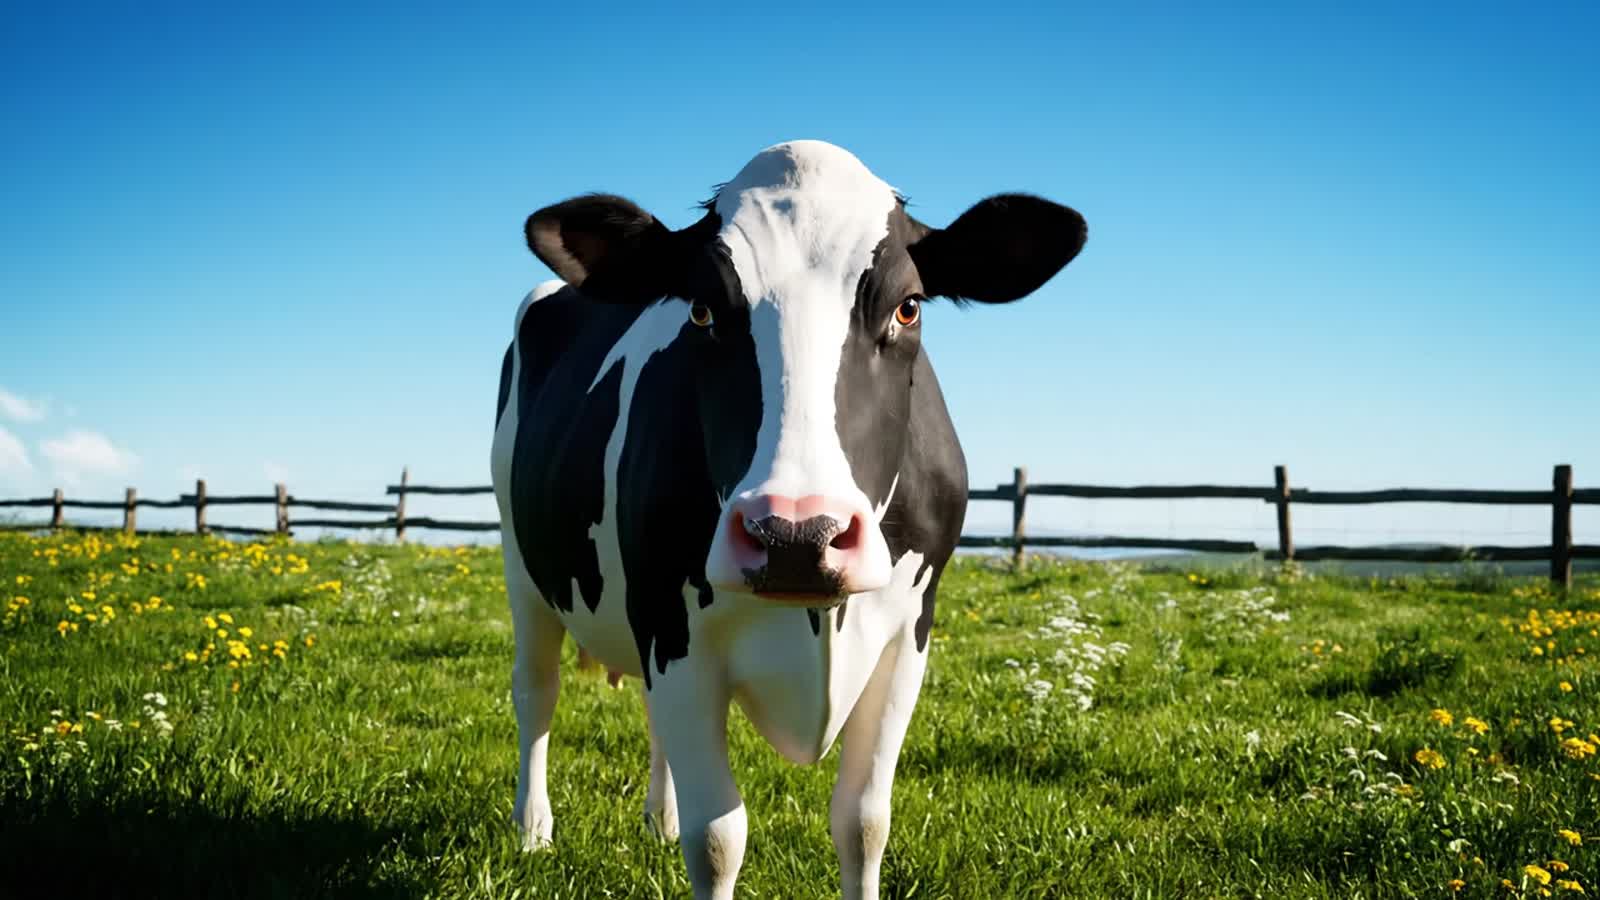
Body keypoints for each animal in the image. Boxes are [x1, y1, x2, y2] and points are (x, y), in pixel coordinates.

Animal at [491, 140, 1085, 900]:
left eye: (908, 307)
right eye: (702, 311)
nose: (797, 535)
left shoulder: (907, 634)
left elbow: (863, 824)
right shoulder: (672, 628)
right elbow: (718, 839)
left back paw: (658, 819)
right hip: (522, 563)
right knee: (536, 692)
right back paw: (533, 830)